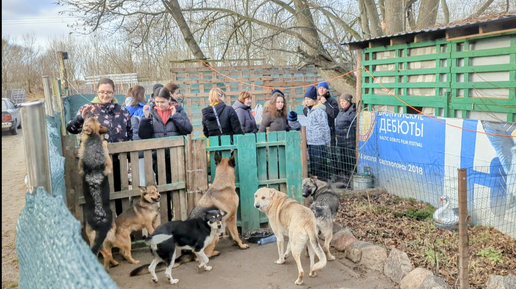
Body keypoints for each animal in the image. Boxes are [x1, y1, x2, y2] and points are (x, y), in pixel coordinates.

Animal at [78, 116, 113, 253]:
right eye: (92, 120)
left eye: (86, 123)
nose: (89, 114)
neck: (93, 138)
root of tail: (100, 219)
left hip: (90, 232)